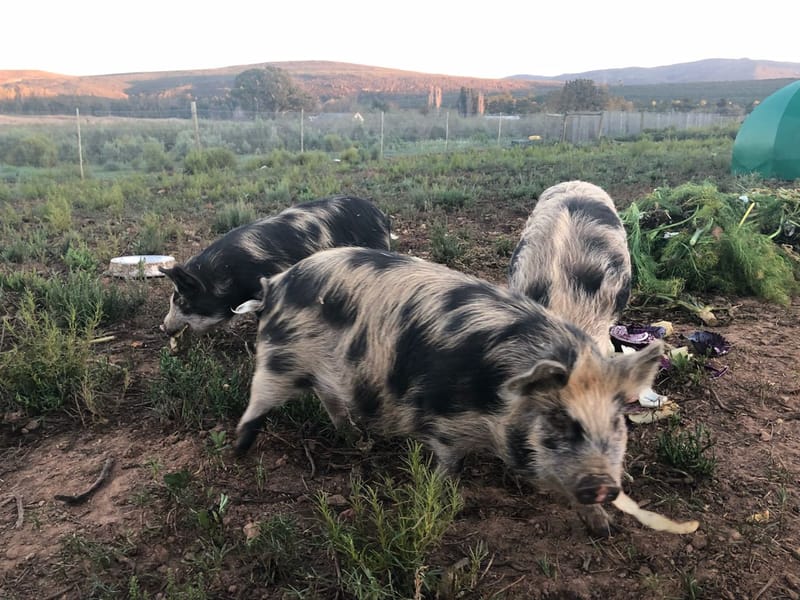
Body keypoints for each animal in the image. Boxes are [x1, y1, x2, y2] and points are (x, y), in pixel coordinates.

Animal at [231, 246, 664, 536]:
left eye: (618, 421)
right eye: (558, 419)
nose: (603, 485)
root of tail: (277, 283)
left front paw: (604, 529)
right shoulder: (443, 421)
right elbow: (448, 464)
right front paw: (441, 495)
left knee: (330, 400)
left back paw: (357, 440)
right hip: (278, 359)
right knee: (256, 404)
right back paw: (238, 452)